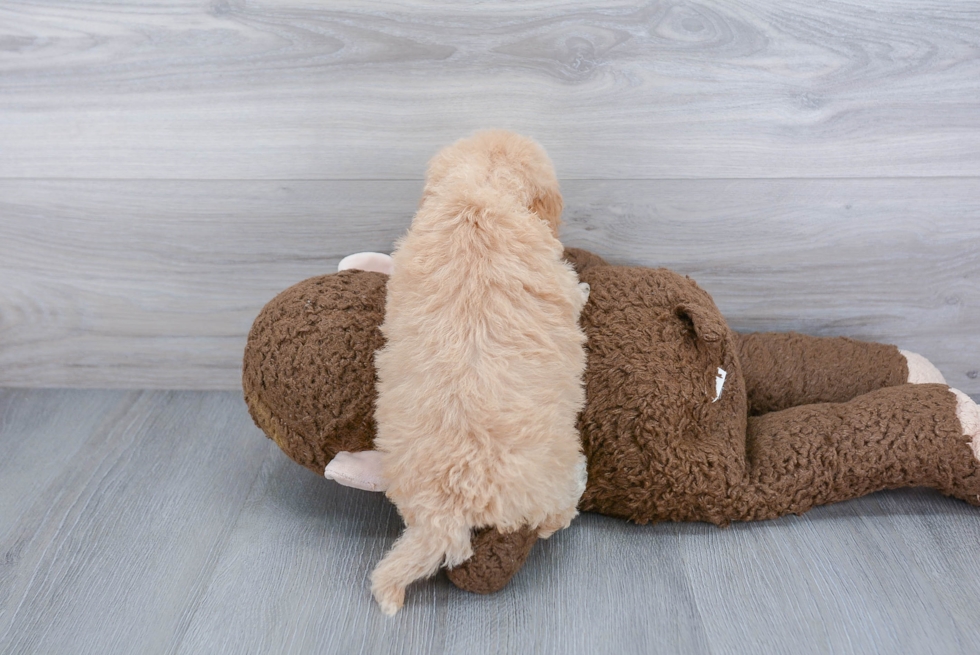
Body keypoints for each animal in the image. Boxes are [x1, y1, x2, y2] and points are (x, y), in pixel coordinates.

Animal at [372, 132, 588, 616]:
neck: (480, 191)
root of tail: (452, 504)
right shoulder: (556, 274)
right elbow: (574, 289)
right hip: (551, 476)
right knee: (554, 515)